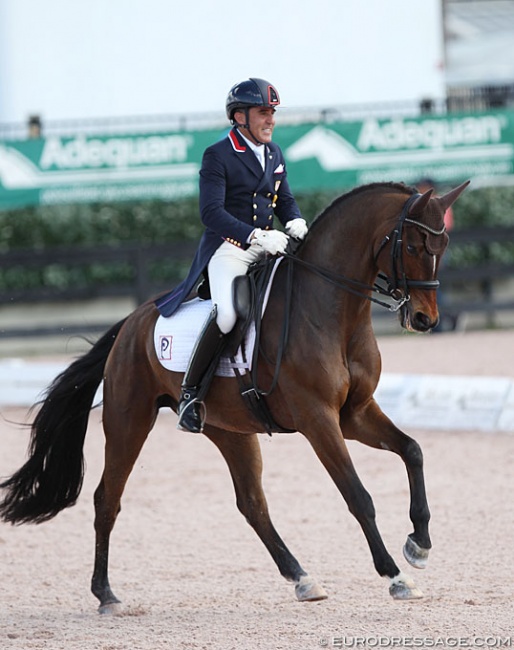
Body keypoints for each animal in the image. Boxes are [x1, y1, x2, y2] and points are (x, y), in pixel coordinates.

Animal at [0, 180, 468, 612]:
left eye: (443, 244)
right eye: (412, 244)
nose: (425, 319)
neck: (333, 312)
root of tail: (131, 323)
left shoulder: (355, 414)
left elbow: (413, 450)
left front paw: (419, 545)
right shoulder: (318, 419)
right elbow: (358, 496)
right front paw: (396, 576)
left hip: (229, 430)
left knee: (252, 504)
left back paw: (303, 578)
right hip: (127, 421)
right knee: (106, 499)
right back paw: (106, 595)